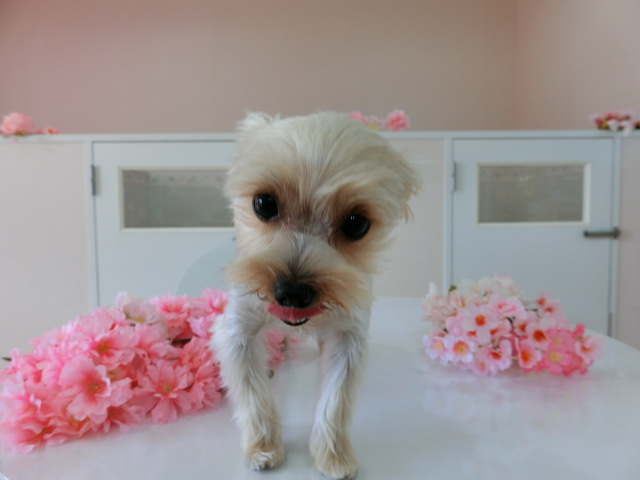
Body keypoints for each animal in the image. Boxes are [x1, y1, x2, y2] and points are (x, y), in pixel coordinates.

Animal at [212, 112, 420, 479]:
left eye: (356, 223)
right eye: (264, 203)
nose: (292, 293)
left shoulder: (348, 335)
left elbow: (335, 401)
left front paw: (334, 456)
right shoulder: (237, 329)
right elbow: (253, 393)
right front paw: (263, 447)